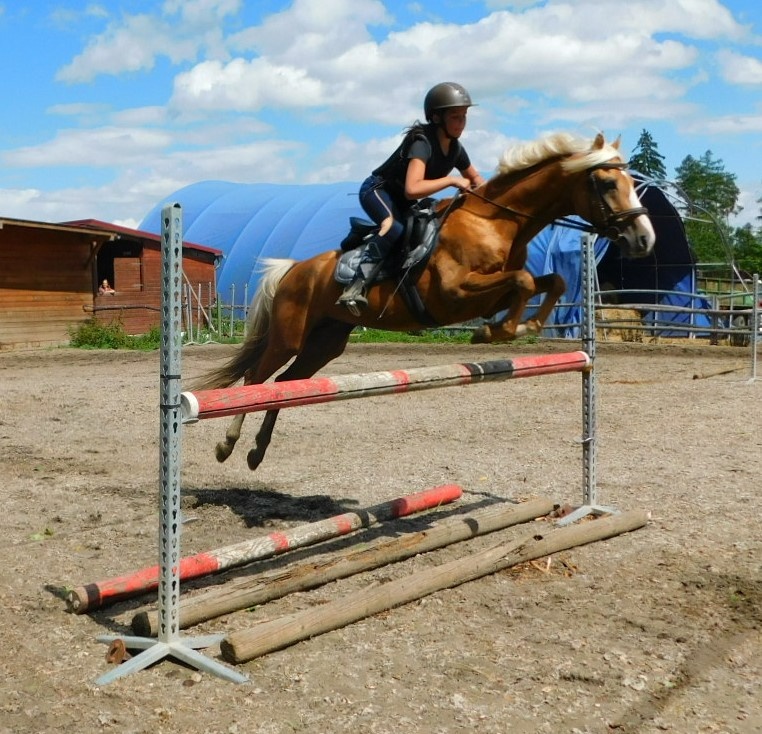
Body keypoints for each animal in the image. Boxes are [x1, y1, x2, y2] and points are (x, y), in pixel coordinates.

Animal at [194, 131, 655, 471]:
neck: (496, 222)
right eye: (608, 184)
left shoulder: (493, 288)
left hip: (327, 342)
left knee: (287, 385)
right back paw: (227, 445)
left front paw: (518, 327)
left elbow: (551, 280)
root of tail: (293, 269)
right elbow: (524, 280)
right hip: (290, 335)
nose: (645, 239)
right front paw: (498, 331)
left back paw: (257, 452)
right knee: (257, 378)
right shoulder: (456, 294)